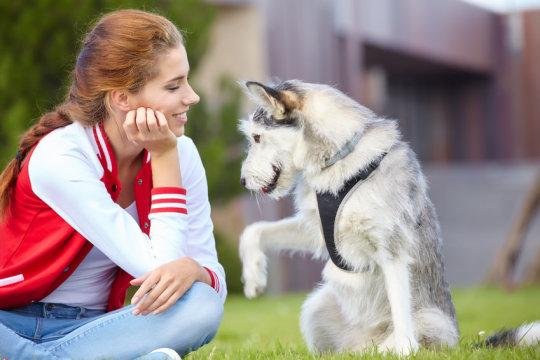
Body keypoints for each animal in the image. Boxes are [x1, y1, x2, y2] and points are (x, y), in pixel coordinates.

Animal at [238, 79, 540, 354]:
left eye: (257, 137)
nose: (242, 181)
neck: (341, 159)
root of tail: (366, 343)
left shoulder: (391, 247)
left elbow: (401, 315)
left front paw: (404, 348)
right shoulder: (318, 230)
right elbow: (254, 230)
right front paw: (254, 276)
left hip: (432, 321)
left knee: (413, 340)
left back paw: (391, 348)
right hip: (315, 308)